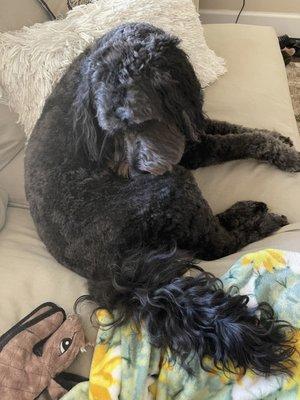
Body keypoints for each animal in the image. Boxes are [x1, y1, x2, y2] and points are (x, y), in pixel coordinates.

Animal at [24, 23, 298, 376]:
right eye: (112, 131)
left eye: (142, 120)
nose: (139, 169)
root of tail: (111, 274)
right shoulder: (191, 150)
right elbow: (242, 140)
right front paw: (285, 154)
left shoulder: (191, 125)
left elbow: (232, 127)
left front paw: (279, 137)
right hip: (172, 186)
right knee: (215, 245)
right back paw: (260, 222)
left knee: (200, 234)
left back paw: (243, 211)